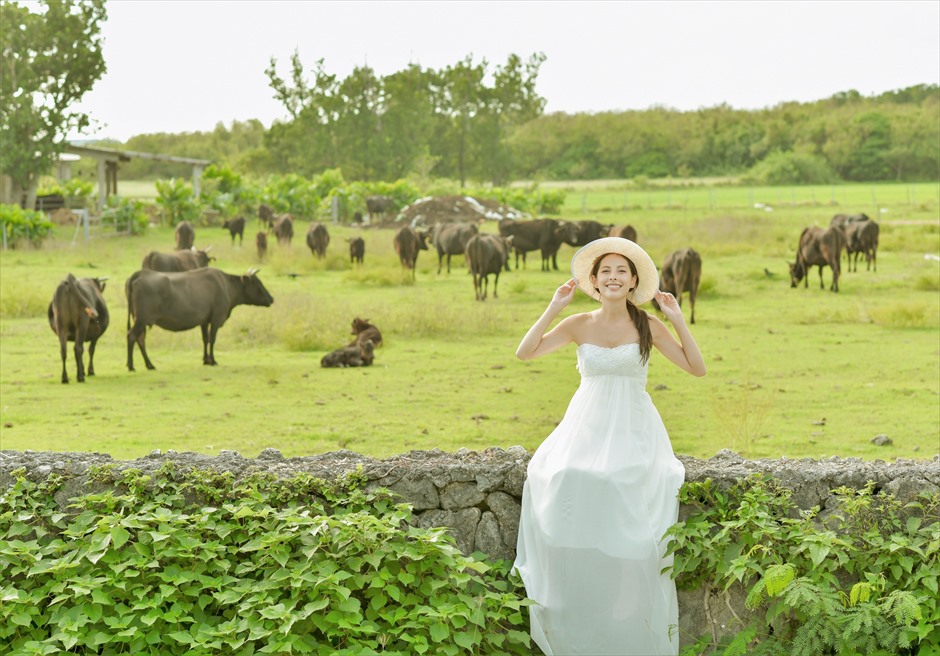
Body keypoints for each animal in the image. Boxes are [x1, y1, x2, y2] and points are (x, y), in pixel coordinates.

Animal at [125, 266, 274, 368]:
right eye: (259, 284)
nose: (271, 299)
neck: (226, 285)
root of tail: (141, 272)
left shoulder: (204, 321)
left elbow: (205, 339)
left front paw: (205, 360)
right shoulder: (216, 318)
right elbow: (212, 339)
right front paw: (213, 360)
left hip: (139, 319)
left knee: (140, 339)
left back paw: (149, 365)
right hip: (141, 319)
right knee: (132, 336)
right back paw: (131, 366)